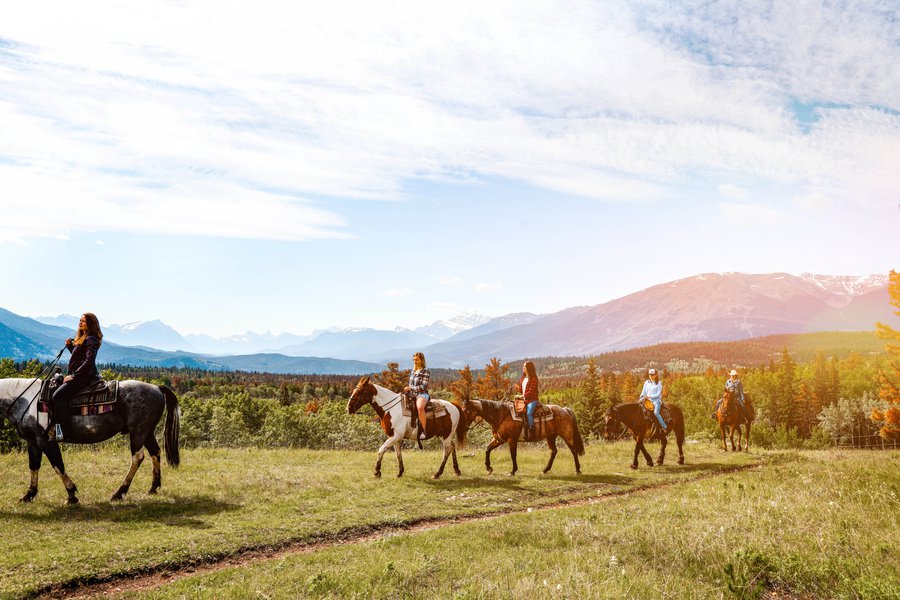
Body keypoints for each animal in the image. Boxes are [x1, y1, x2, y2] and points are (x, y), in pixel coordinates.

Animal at [0, 378, 179, 504]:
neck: (25, 401)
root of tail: (156, 388)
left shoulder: (46, 441)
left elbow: (58, 465)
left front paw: (71, 494)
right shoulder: (33, 443)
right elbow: (34, 467)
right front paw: (28, 495)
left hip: (138, 431)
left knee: (137, 457)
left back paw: (119, 492)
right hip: (147, 432)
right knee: (155, 452)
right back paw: (153, 487)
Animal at [460, 398, 588, 478]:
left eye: (467, 410)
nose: (463, 426)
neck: (501, 415)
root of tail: (565, 410)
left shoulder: (511, 440)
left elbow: (513, 455)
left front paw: (512, 471)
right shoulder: (499, 439)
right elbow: (488, 449)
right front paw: (488, 468)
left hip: (567, 435)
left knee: (573, 451)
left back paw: (577, 470)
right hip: (551, 436)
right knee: (554, 451)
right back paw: (545, 470)